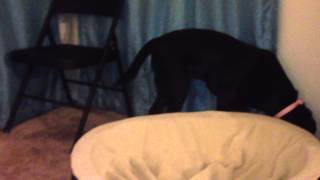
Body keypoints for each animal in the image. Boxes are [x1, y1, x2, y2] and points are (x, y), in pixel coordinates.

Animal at [118, 28, 318, 134]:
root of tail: (158, 40)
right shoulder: (226, 99)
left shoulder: (240, 104)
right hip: (178, 85)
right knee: (170, 110)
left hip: (165, 84)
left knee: (155, 110)